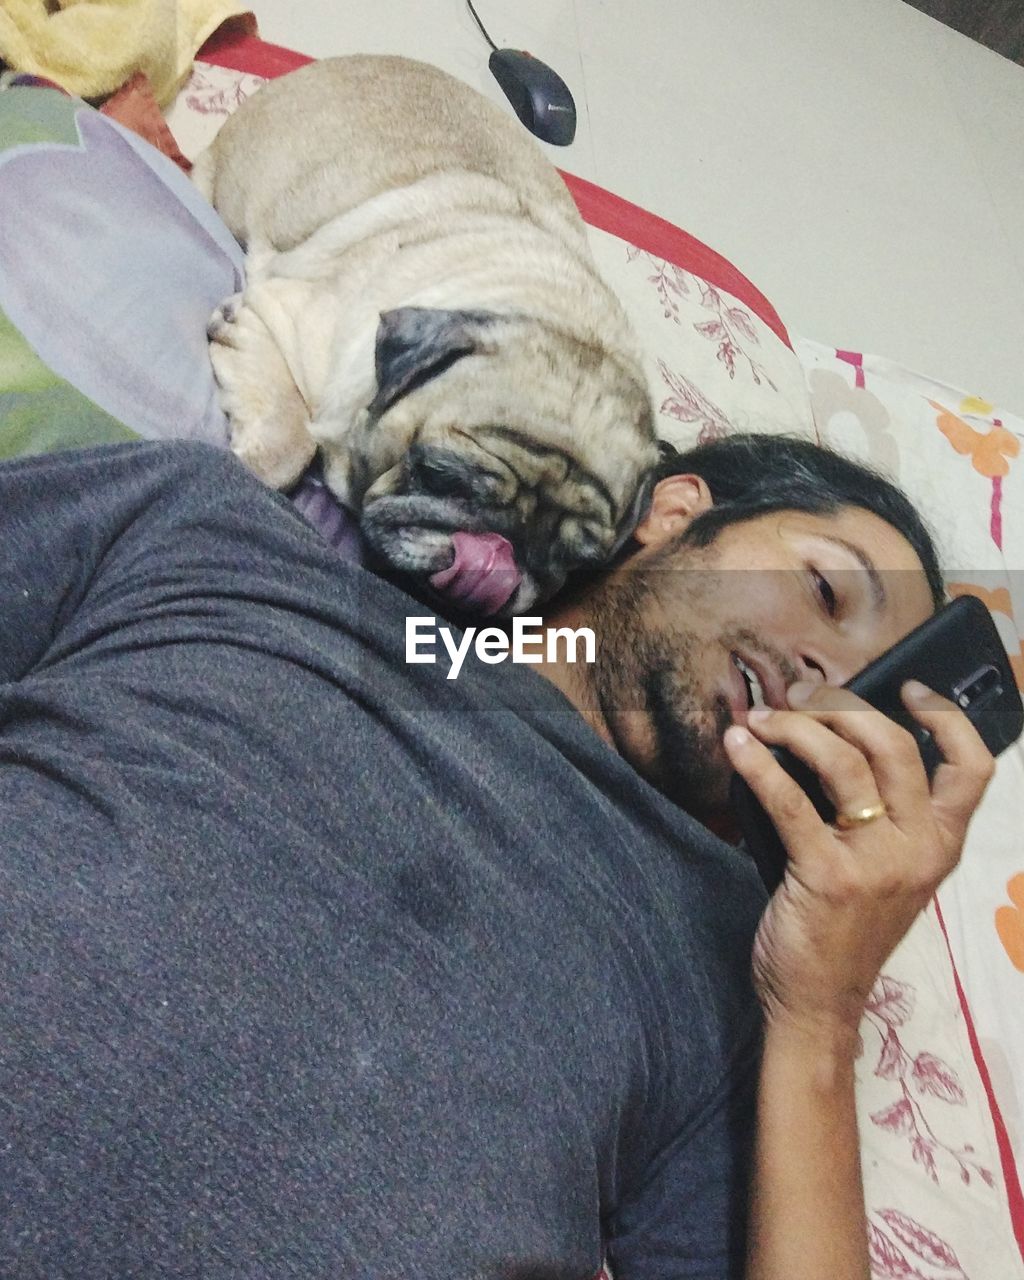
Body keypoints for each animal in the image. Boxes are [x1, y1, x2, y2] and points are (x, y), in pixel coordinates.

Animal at [192, 57, 655, 616]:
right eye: (440, 475)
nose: (502, 554)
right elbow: (288, 442)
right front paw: (252, 465)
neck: (563, 323)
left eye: (572, 563)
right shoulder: (279, 314)